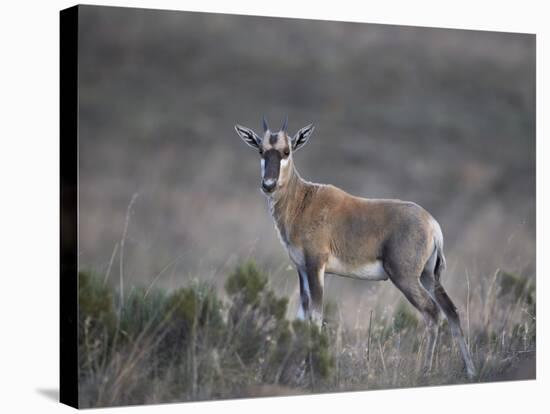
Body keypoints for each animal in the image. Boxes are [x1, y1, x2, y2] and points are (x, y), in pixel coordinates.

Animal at [235, 115, 476, 376]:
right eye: (261, 150)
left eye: (287, 151)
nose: (268, 185)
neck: (305, 199)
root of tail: (432, 225)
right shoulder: (303, 270)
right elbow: (302, 316)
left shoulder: (315, 266)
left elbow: (316, 317)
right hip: (429, 276)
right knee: (451, 311)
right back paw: (470, 371)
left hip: (405, 277)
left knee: (432, 312)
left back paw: (426, 370)